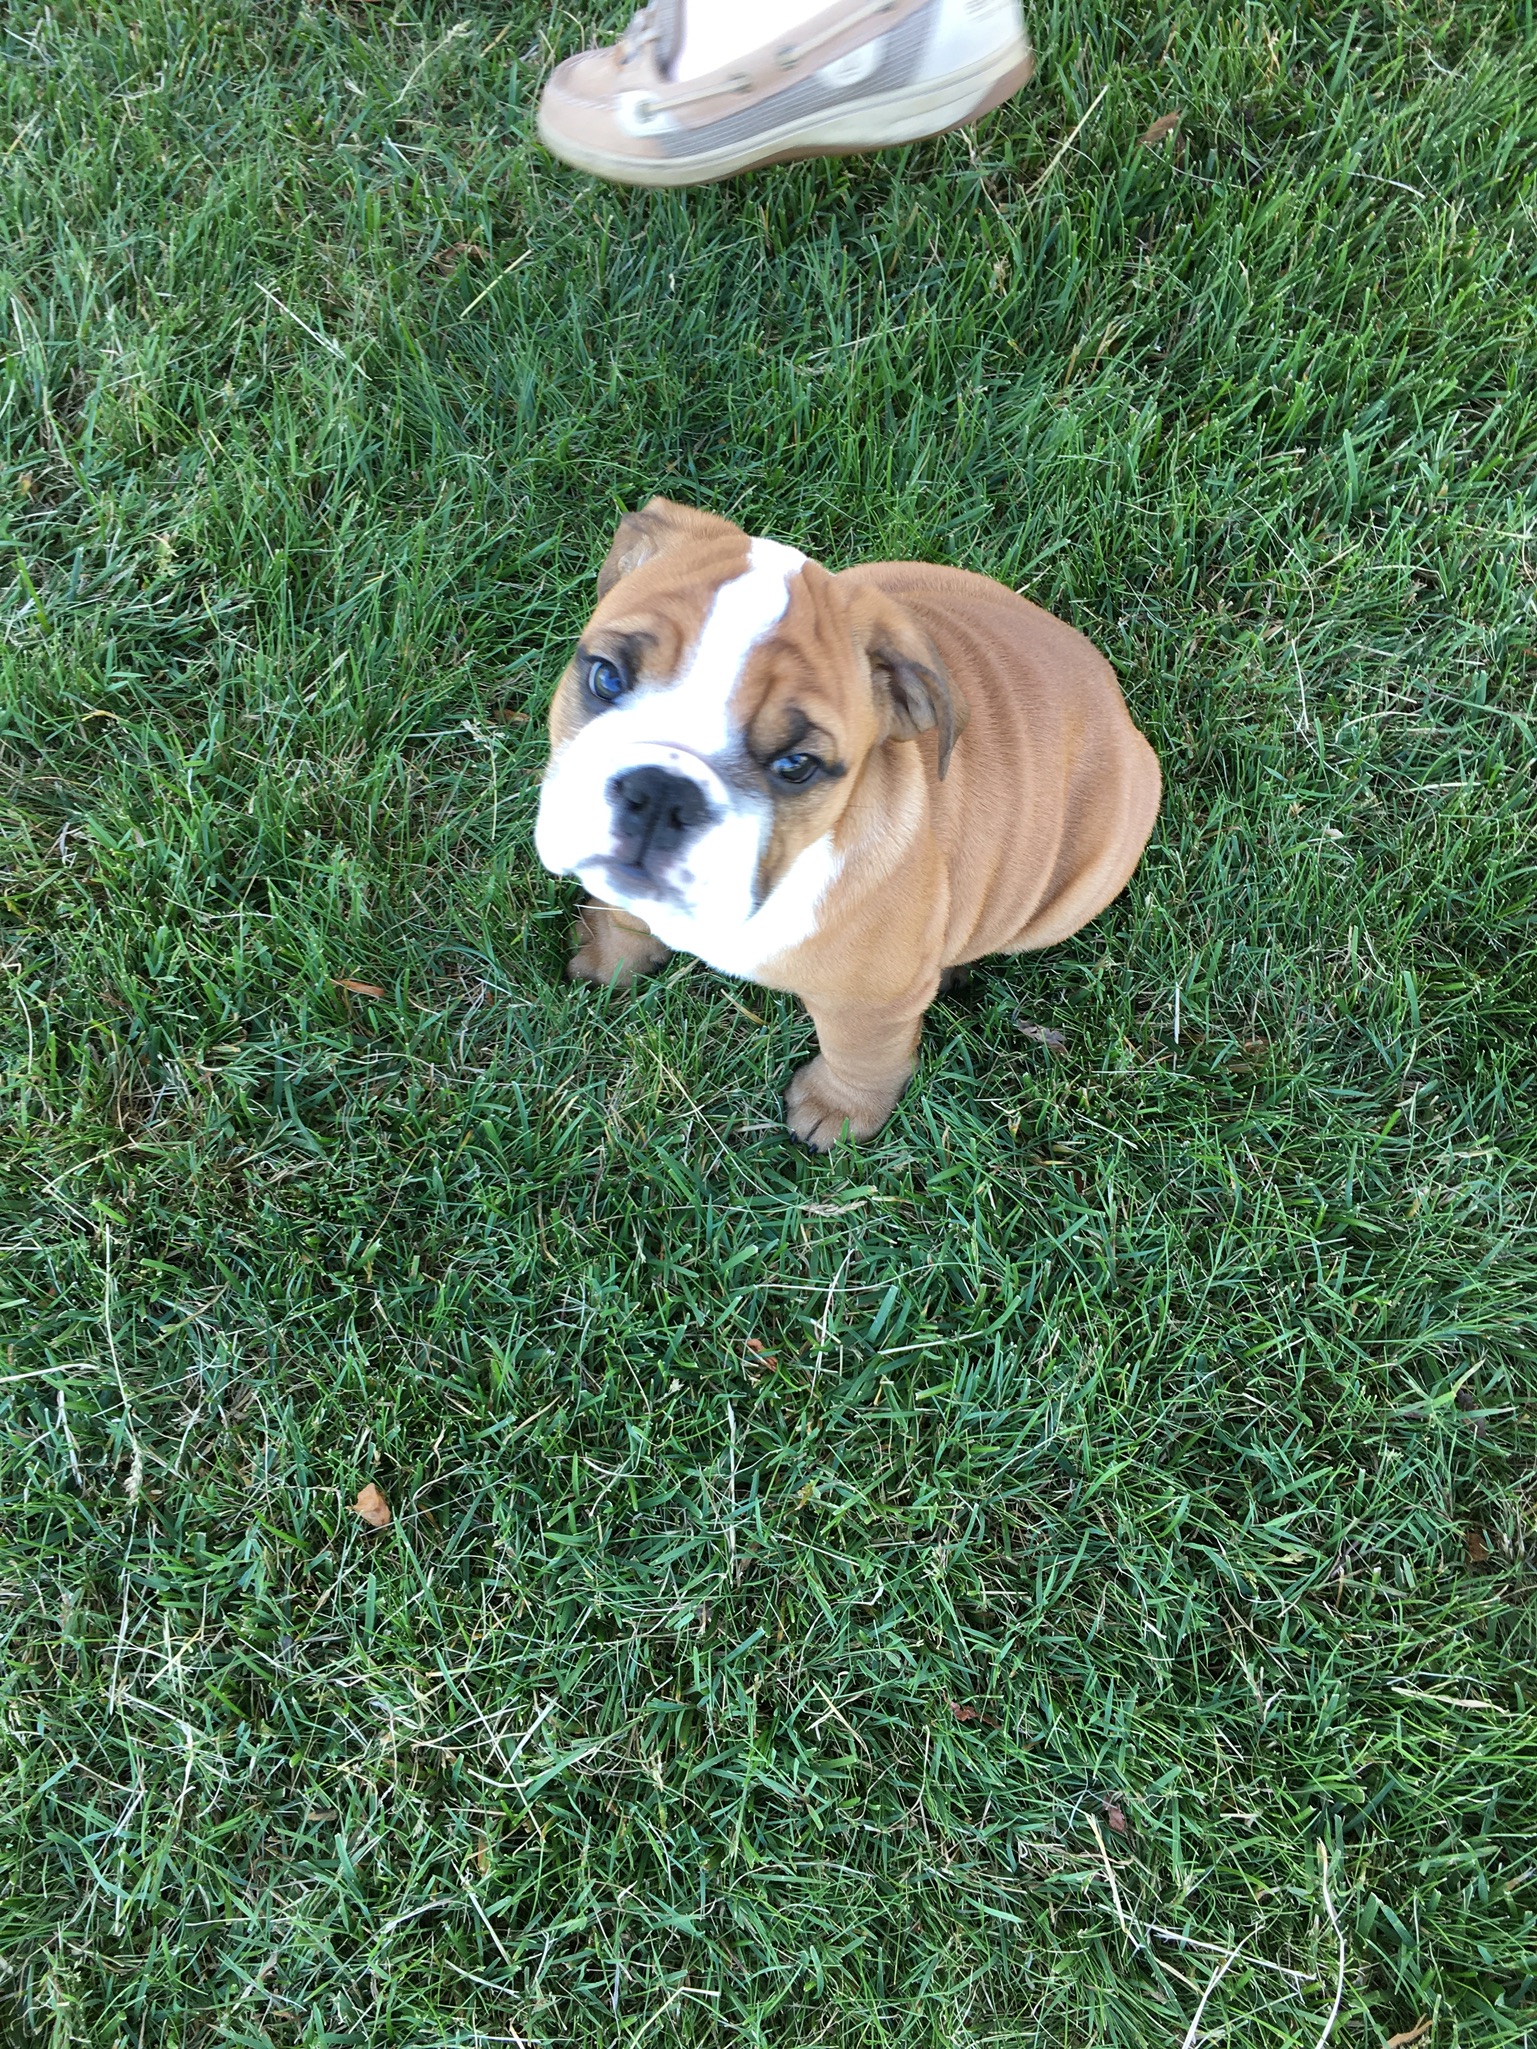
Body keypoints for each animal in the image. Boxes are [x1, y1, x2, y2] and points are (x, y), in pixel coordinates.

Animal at [535, 498, 1161, 1149]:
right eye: (606, 678)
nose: (661, 793)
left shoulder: (871, 1003)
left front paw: (836, 1110)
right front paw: (609, 954)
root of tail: (1112, 697)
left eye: (796, 766)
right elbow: (625, 913)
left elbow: (861, 1055)